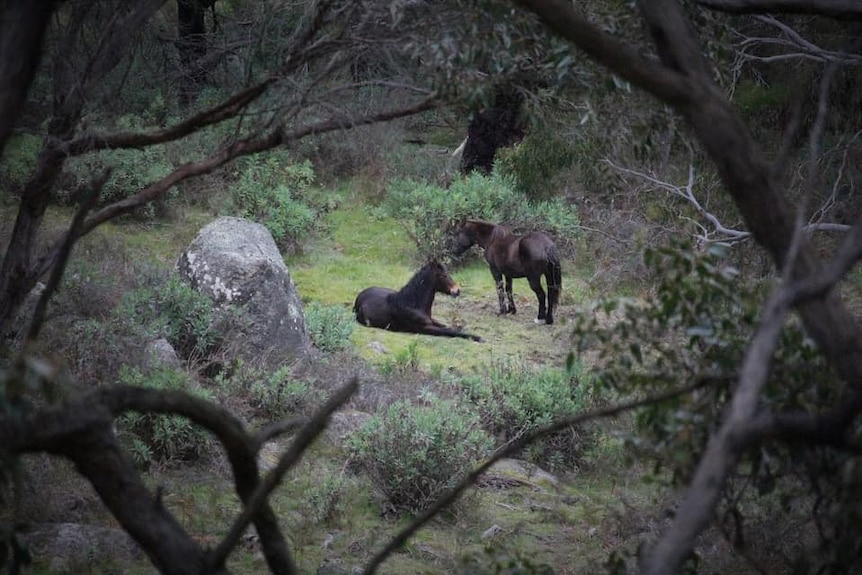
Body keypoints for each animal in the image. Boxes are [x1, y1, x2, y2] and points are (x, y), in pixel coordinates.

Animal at [352, 260, 486, 342]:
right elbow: (449, 331)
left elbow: (448, 327)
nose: (457, 291)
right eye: (443, 275)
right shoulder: (424, 328)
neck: (412, 303)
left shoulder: (431, 321)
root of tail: (359, 297)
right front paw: (478, 338)